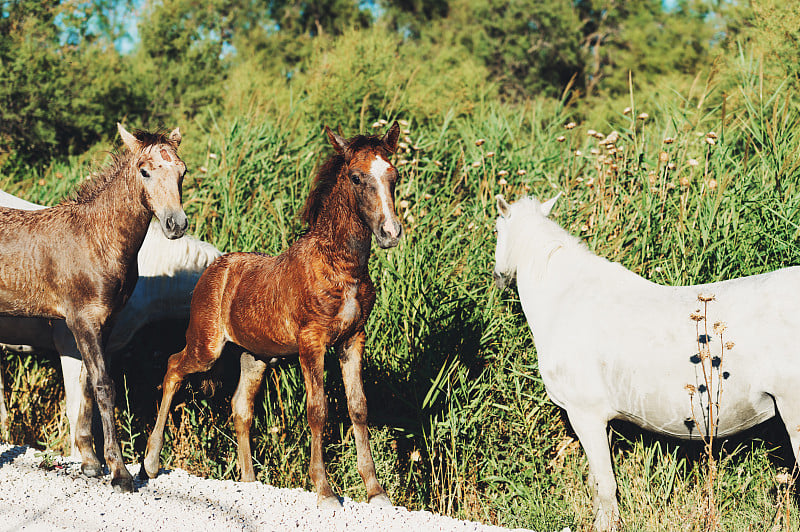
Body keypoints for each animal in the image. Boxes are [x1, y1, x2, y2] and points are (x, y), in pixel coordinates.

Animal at [0, 122, 188, 492]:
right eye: (145, 171)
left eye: (182, 173)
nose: (176, 224)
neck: (96, 239)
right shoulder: (82, 321)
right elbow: (103, 386)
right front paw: (119, 472)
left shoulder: (104, 323)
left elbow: (85, 388)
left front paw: (90, 463)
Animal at [144, 121, 404, 508]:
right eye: (357, 178)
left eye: (393, 174)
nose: (390, 232)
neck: (342, 267)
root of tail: (213, 269)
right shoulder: (312, 343)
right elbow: (318, 410)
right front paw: (325, 492)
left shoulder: (352, 340)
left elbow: (358, 407)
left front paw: (376, 492)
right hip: (207, 347)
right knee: (174, 368)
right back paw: (150, 461)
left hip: (255, 357)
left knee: (240, 407)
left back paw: (249, 481)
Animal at [494, 193, 800, 528]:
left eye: (497, 229)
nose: (497, 277)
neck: (565, 300)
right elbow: (598, 483)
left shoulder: (585, 414)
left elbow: (605, 486)